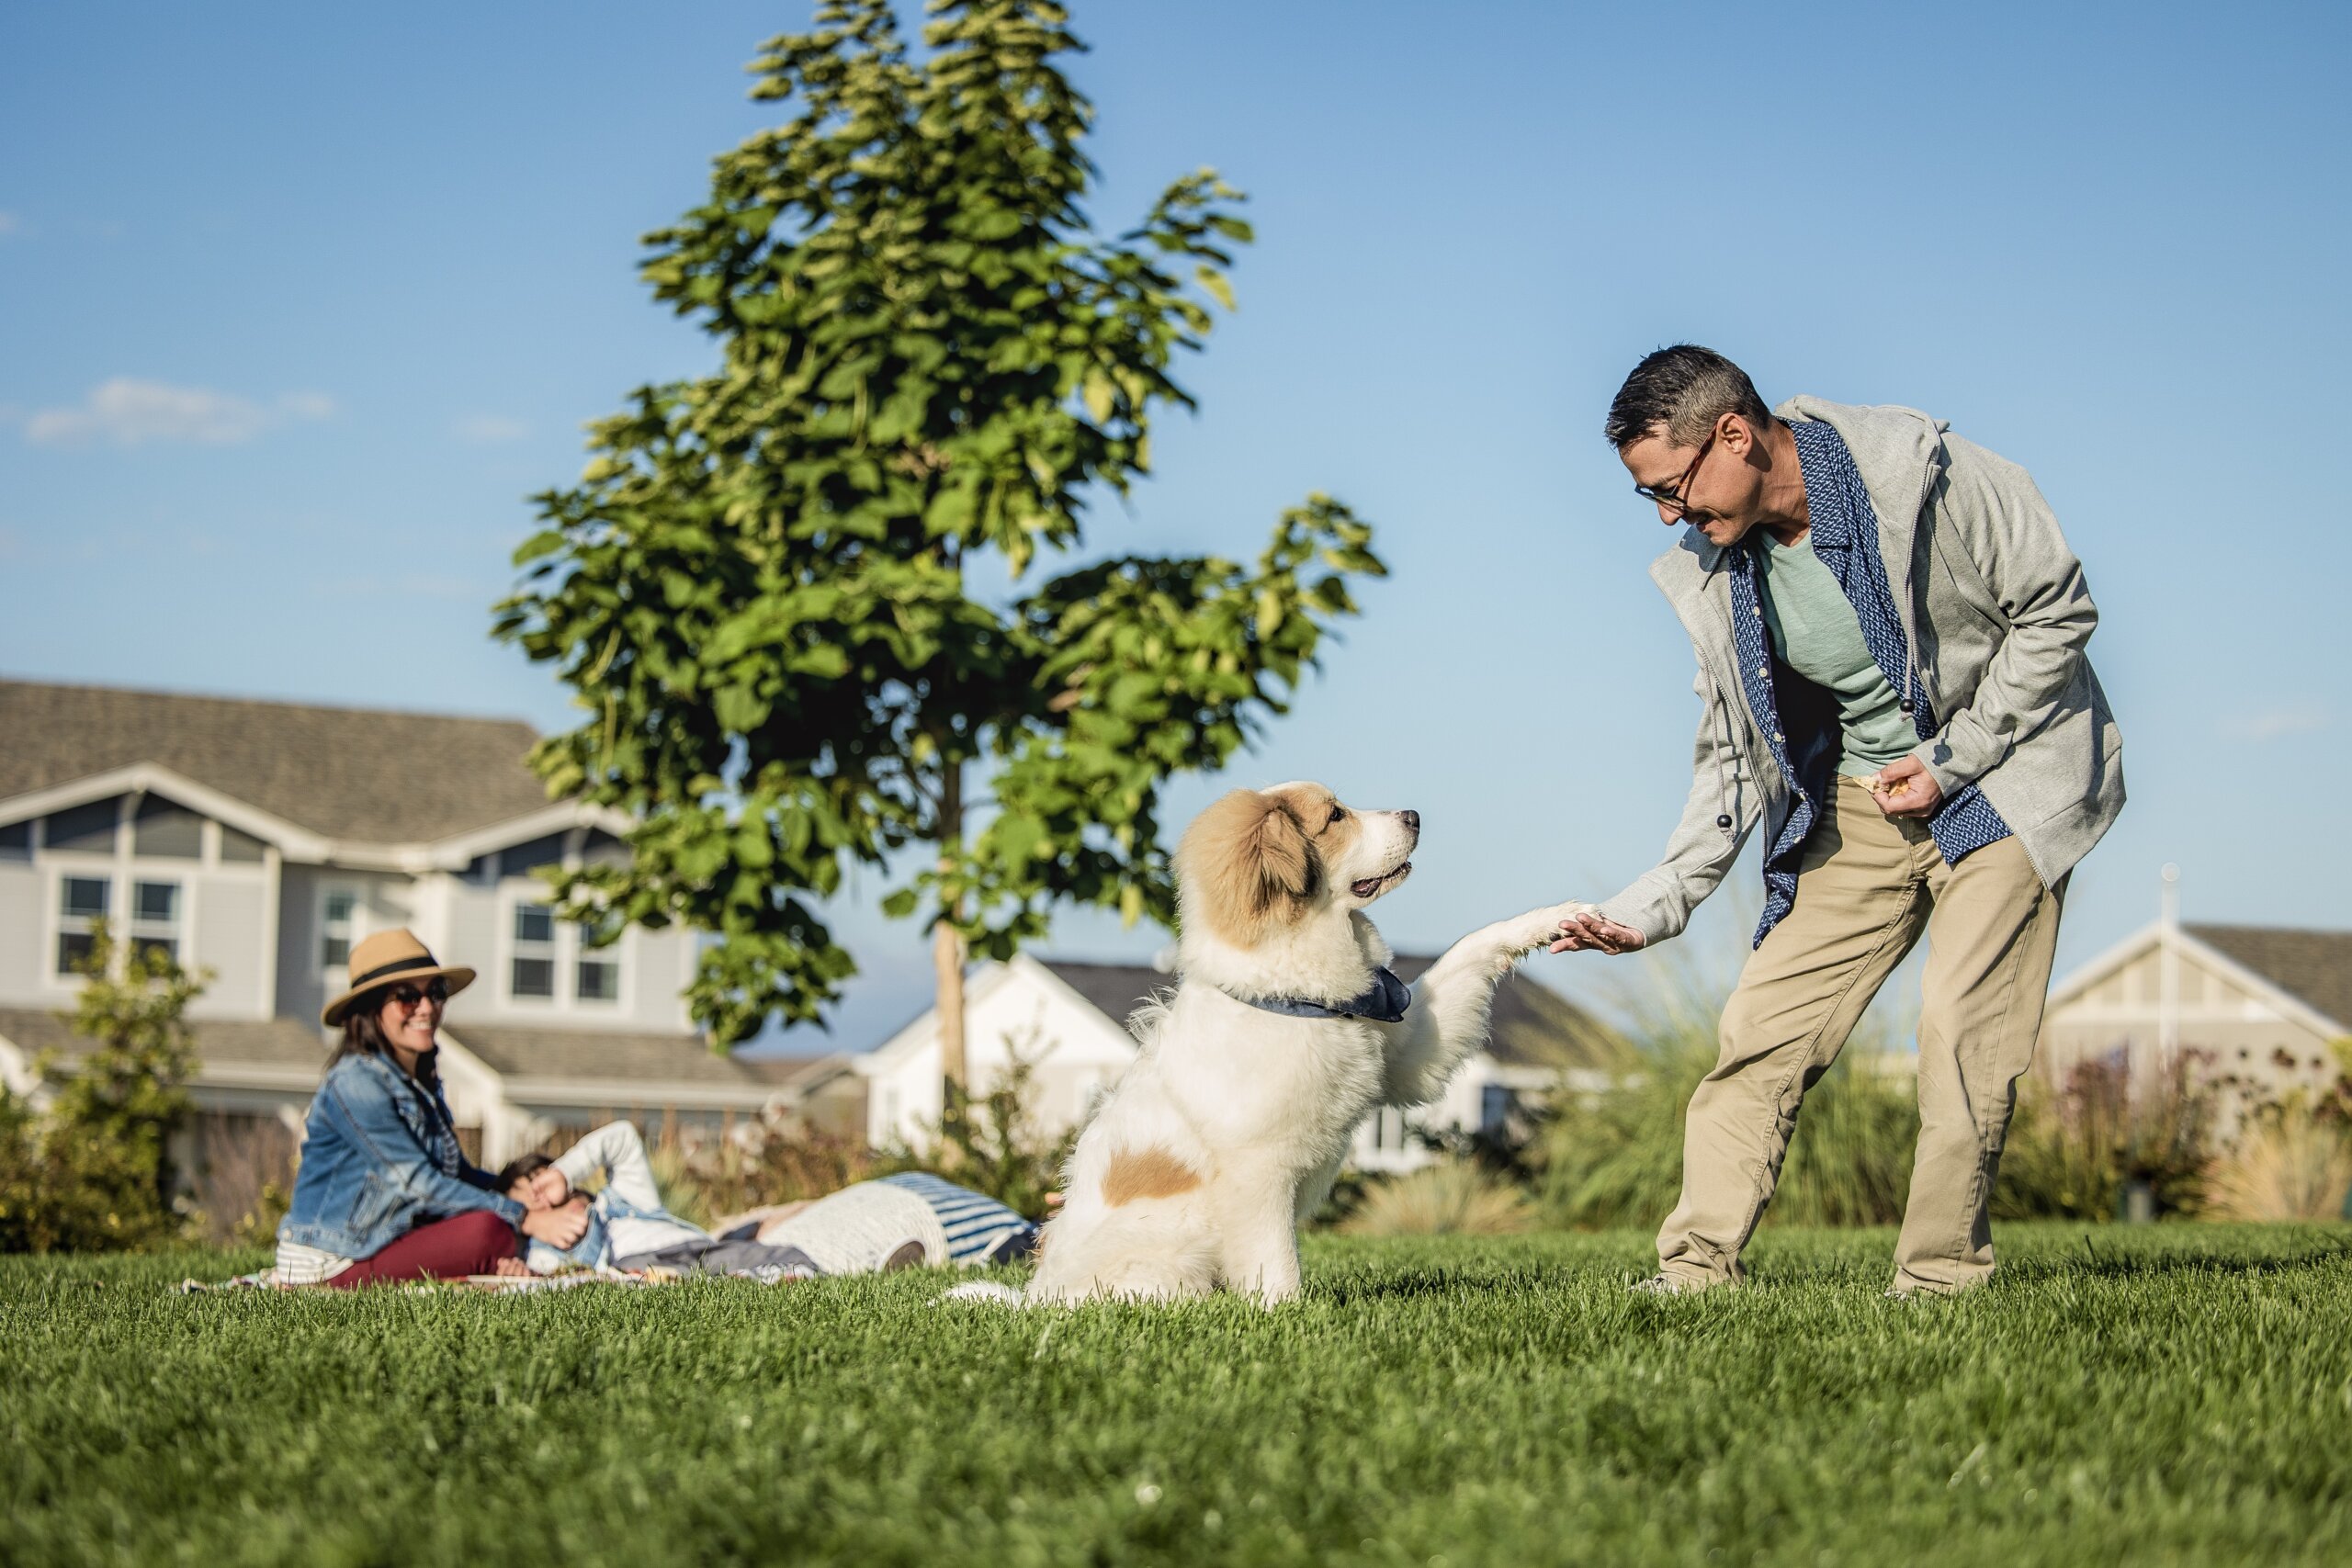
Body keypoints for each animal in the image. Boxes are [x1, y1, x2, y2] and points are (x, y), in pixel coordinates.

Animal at [950, 784, 1580, 1316]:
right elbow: (1277, 1264)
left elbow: (1470, 949)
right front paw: (1289, 1320)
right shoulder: (1260, 1175)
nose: (1415, 815)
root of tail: (1038, 1301)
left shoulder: (1412, 1047)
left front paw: (1554, 920)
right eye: (1335, 816)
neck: (1294, 994)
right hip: (1166, 1270)